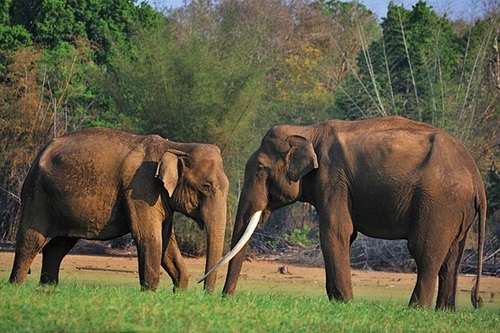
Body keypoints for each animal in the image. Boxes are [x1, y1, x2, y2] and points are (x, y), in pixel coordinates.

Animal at [9, 127, 229, 290]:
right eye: (205, 186)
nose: (206, 294)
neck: (176, 146)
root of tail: (39, 153)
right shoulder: (141, 189)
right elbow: (150, 238)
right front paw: (149, 294)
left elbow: (166, 241)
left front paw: (179, 291)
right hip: (37, 195)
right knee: (30, 242)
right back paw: (17, 287)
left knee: (57, 248)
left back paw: (48, 289)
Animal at [201, 116, 486, 308]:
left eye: (260, 169)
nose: (225, 297)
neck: (307, 130)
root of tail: (476, 177)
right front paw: (339, 300)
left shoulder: (333, 176)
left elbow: (336, 231)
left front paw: (343, 302)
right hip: (458, 212)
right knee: (451, 259)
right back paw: (444, 312)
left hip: (439, 204)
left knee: (425, 253)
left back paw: (417, 310)